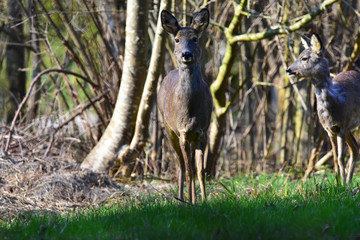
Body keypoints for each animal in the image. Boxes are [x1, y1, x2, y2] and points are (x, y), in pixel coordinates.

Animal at [158, 8, 214, 203]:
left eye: (195, 38)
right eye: (177, 39)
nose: (186, 54)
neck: (190, 113)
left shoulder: (202, 131)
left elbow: (200, 171)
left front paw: (204, 201)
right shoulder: (182, 132)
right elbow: (189, 171)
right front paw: (192, 202)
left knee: (188, 164)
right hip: (168, 129)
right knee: (181, 165)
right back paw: (182, 198)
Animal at [286, 33, 360, 184]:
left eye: (304, 58)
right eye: (299, 55)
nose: (288, 70)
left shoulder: (342, 126)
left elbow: (340, 157)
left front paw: (342, 184)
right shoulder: (330, 129)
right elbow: (336, 158)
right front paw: (339, 184)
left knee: (354, 149)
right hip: (349, 129)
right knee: (355, 149)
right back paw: (349, 182)